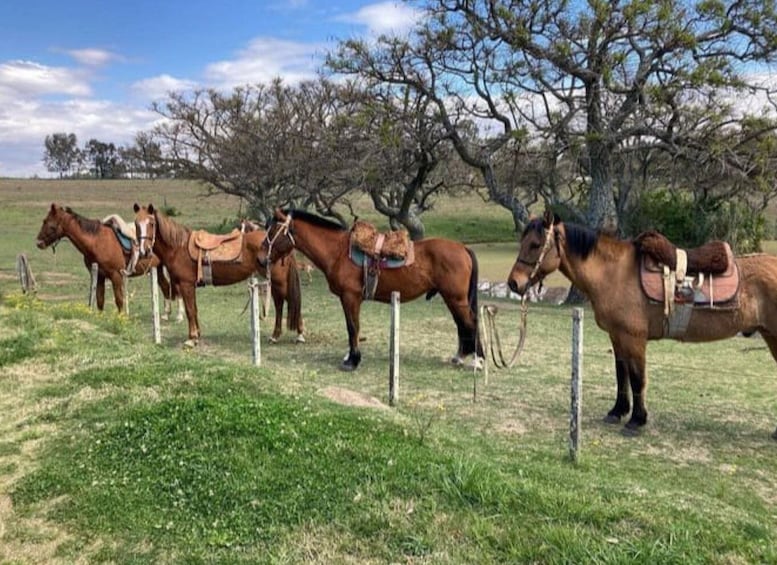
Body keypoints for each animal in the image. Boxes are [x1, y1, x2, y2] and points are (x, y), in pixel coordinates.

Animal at [35, 203, 182, 318]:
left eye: (50, 224)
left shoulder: (116, 275)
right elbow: (100, 300)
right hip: (158, 268)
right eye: (44, 221)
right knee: (165, 286)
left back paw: (179, 316)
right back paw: (166, 314)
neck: (97, 241)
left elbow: (119, 300)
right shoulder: (99, 276)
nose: (38, 243)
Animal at [133, 202, 304, 344]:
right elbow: (194, 309)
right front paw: (197, 334)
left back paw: (296, 334)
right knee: (281, 303)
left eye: (151, 224)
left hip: (279, 281)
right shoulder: (188, 286)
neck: (178, 247)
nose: (144, 251)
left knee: (287, 301)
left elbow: (189, 310)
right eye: (136, 224)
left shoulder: (186, 285)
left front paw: (191, 338)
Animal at [260, 207, 478, 370]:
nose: (261, 258)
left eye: (272, 231)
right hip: (453, 299)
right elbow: (352, 328)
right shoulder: (347, 299)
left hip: (456, 299)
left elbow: (353, 327)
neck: (339, 252)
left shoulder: (351, 297)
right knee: (462, 325)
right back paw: (460, 356)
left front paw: (353, 360)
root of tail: (463, 248)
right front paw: (350, 356)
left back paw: (477, 360)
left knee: (471, 323)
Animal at [506, 212, 777, 436]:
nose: (513, 283)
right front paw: (617, 411)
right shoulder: (617, 337)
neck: (614, 274)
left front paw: (636, 420)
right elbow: (621, 375)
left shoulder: (633, 338)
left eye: (535, 244)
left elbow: (637, 378)